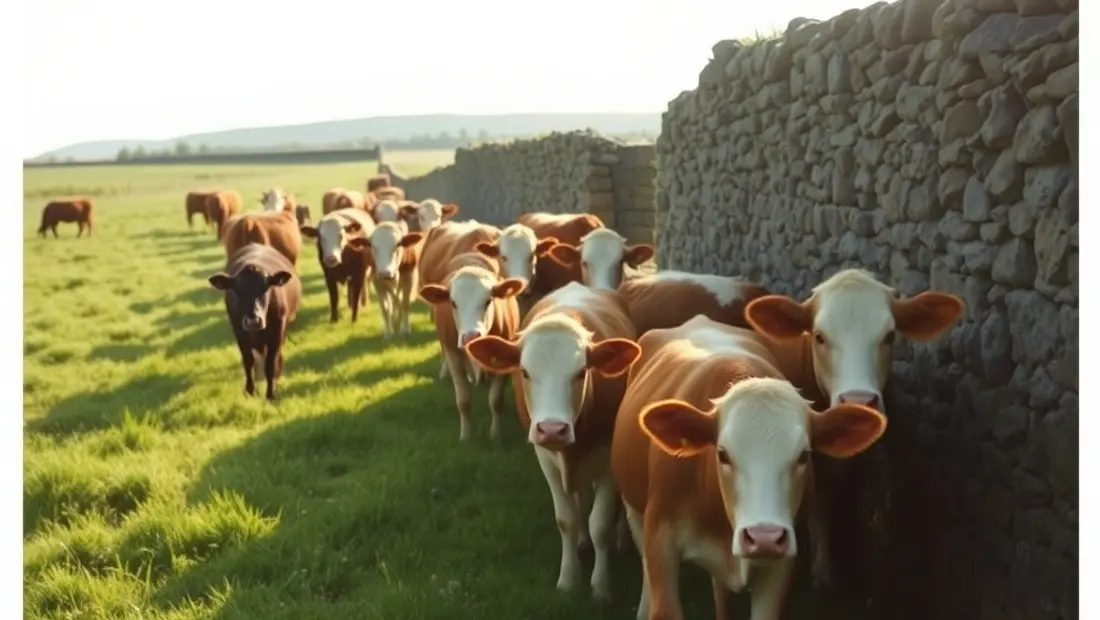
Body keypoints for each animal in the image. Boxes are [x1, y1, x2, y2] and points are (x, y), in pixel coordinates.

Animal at [208, 243, 302, 401]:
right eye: (237, 290)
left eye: (265, 288)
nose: (253, 321)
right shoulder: (239, 331)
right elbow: (248, 360)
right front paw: (250, 390)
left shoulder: (277, 332)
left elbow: (270, 362)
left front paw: (270, 393)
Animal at [419, 252, 525, 442]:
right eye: (453, 303)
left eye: (488, 301)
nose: (471, 336)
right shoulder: (453, 357)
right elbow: (463, 401)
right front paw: (466, 437)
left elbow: (496, 401)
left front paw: (496, 434)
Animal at [465, 282, 643, 601]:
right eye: (524, 372)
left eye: (581, 372)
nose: (552, 429)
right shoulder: (545, 457)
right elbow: (566, 519)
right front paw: (569, 579)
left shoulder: (608, 461)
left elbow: (601, 524)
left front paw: (601, 586)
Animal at [611, 314, 888, 620]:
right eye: (722, 454)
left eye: (804, 456)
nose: (763, 537)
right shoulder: (661, 538)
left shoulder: (780, 565)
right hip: (635, 512)